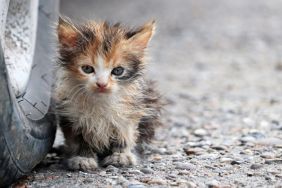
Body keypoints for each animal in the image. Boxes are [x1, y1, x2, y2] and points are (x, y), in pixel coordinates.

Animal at [54, 16, 162, 171]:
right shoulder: (71, 116)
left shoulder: (130, 113)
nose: (102, 84)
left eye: (118, 71)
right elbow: (79, 140)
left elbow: (125, 136)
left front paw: (121, 156)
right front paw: (83, 158)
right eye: (87, 69)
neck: (100, 101)